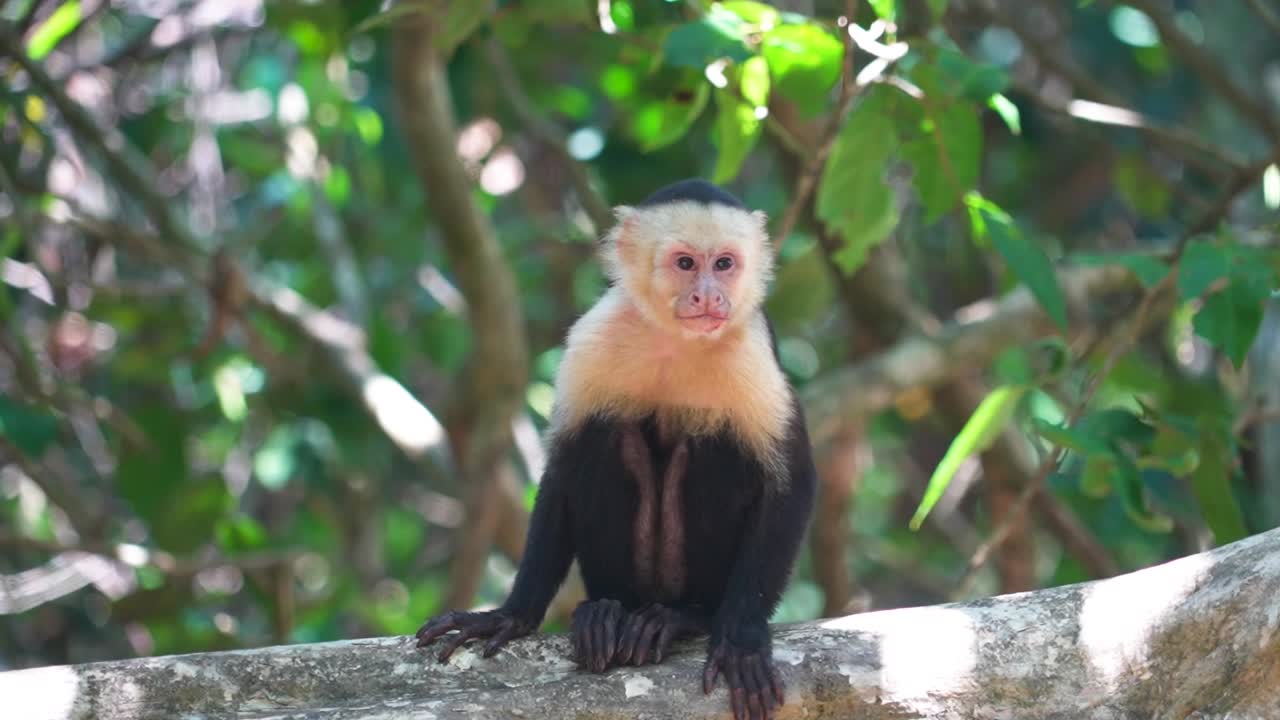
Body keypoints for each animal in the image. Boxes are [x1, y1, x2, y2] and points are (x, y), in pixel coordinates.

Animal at [414, 179, 817, 720]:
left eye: (724, 264)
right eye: (685, 263)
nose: (709, 295)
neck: (675, 340)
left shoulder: (750, 350)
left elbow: (790, 482)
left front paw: (743, 642)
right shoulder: (594, 337)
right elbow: (563, 467)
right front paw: (510, 616)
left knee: (714, 443)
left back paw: (685, 616)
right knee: (606, 435)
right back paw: (607, 613)